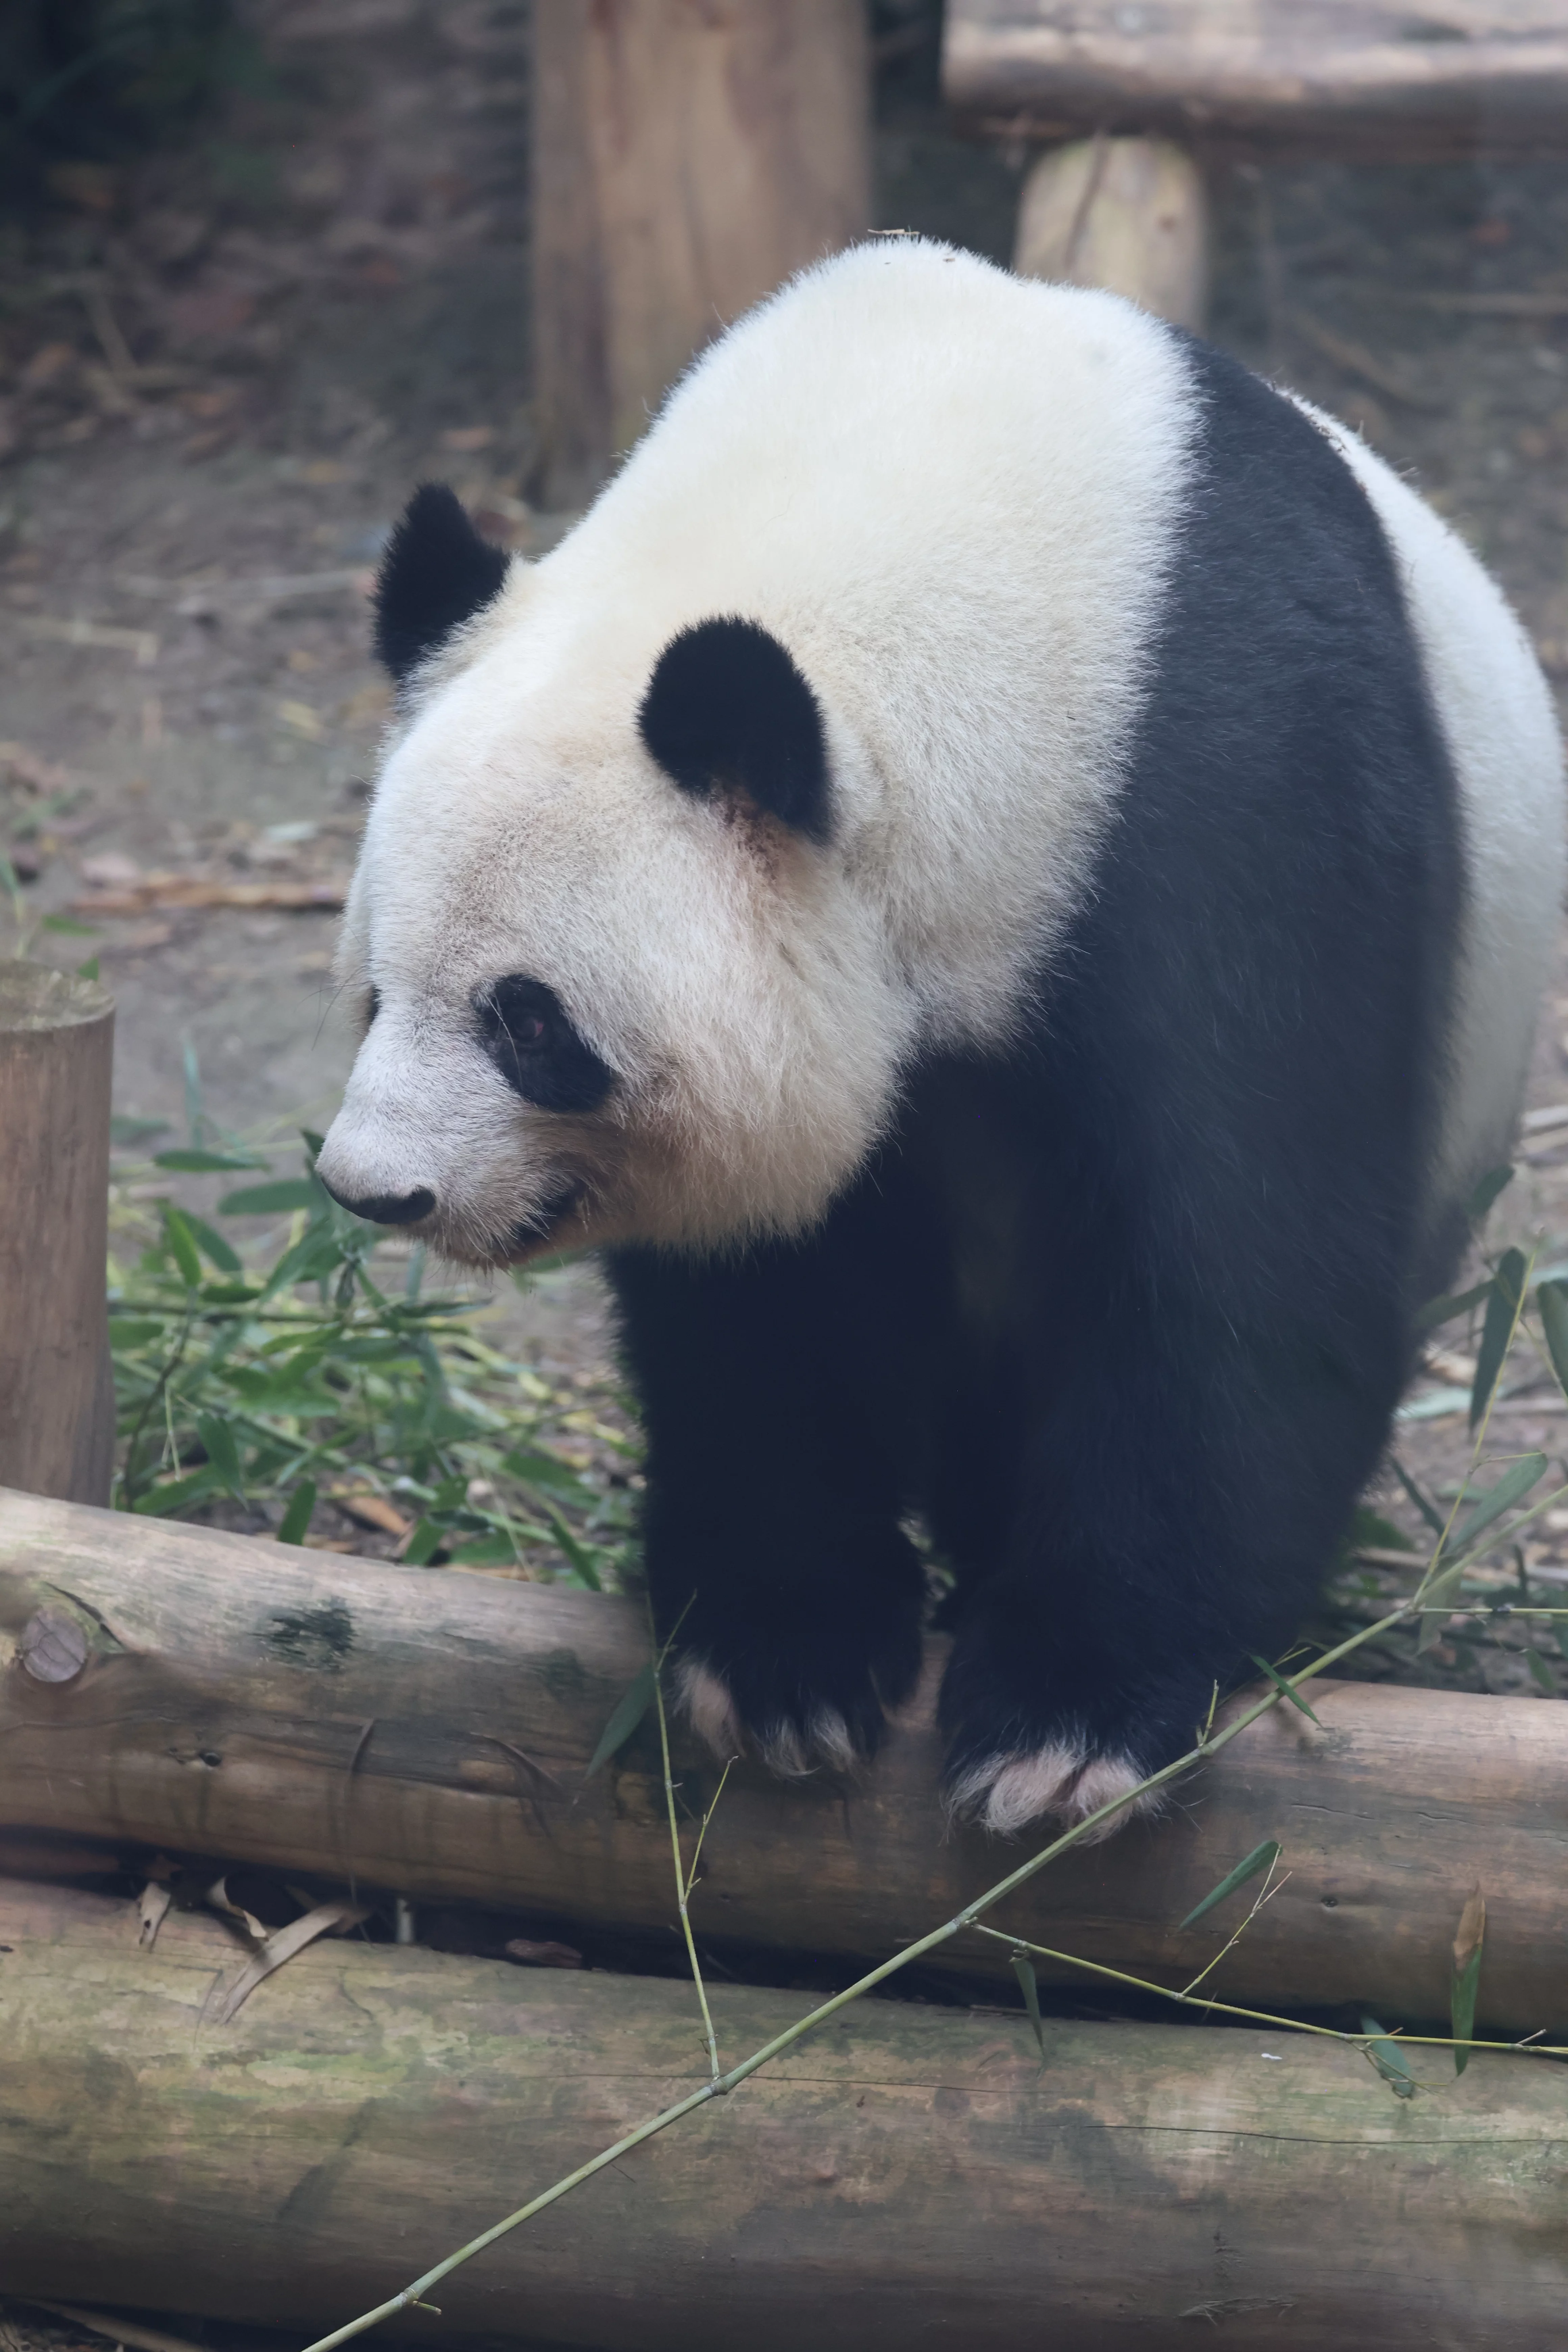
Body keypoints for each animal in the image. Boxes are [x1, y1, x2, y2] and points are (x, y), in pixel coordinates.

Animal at [318, 238, 1564, 1838]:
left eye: (528, 1021)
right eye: (374, 987)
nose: (374, 1187)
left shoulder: (1238, 803)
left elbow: (1235, 1257)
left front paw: (1068, 1717)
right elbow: (761, 1285)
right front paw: (783, 1657)